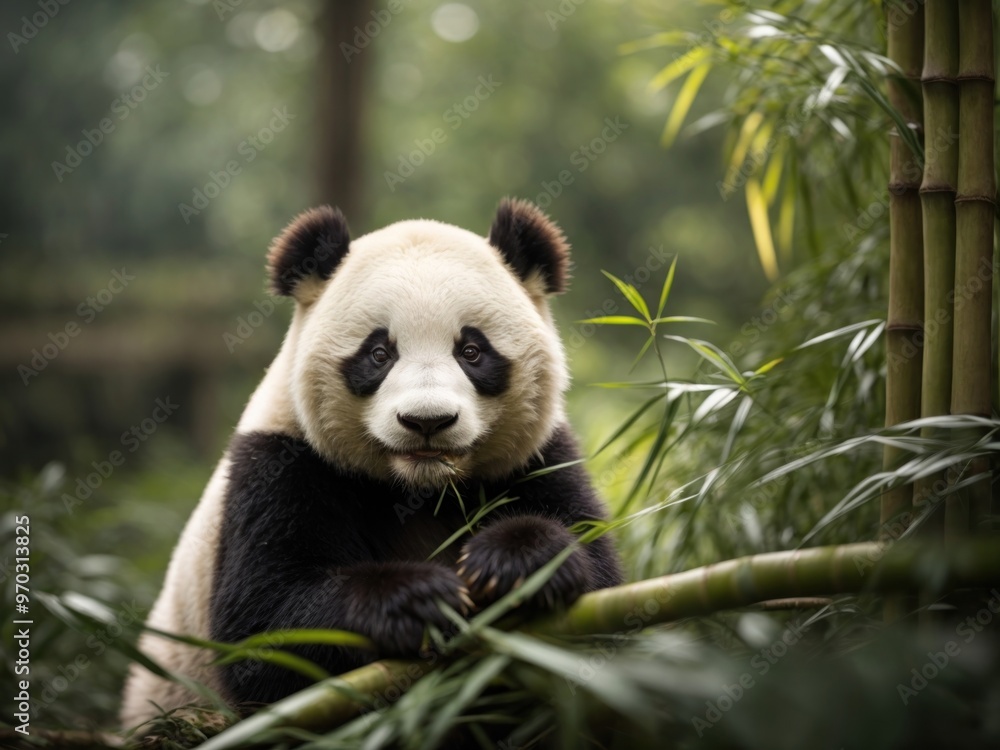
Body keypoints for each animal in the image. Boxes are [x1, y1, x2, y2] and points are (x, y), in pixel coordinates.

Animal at [120, 198, 623, 727]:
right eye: (379, 353)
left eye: (472, 350)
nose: (427, 421)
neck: (420, 486)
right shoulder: (280, 464)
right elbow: (263, 634)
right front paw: (417, 601)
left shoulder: (538, 457)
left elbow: (599, 587)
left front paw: (513, 564)